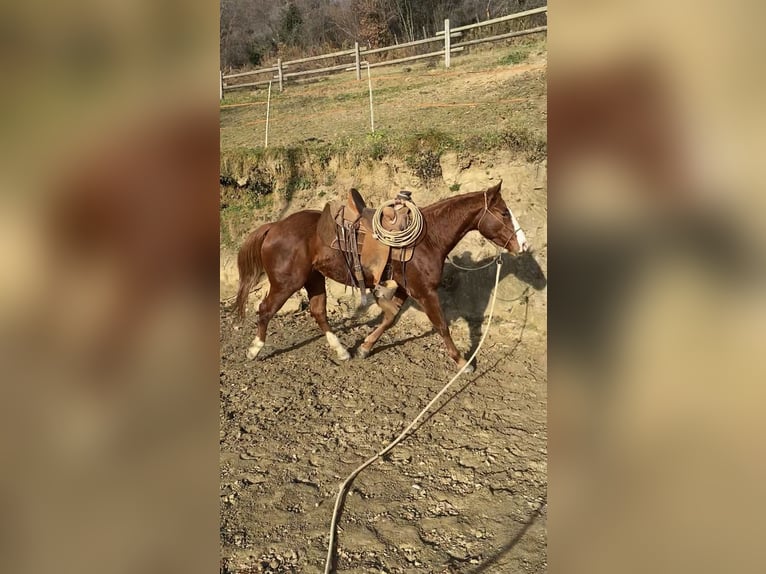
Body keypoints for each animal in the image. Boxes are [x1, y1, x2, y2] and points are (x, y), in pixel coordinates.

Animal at [236, 184, 528, 374]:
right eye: (504, 213)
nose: (523, 245)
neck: (428, 238)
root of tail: (274, 226)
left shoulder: (406, 288)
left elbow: (389, 318)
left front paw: (364, 348)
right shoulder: (425, 291)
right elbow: (441, 325)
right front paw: (462, 363)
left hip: (314, 279)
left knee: (319, 313)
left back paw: (342, 351)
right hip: (287, 283)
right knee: (265, 309)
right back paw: (254, 349)